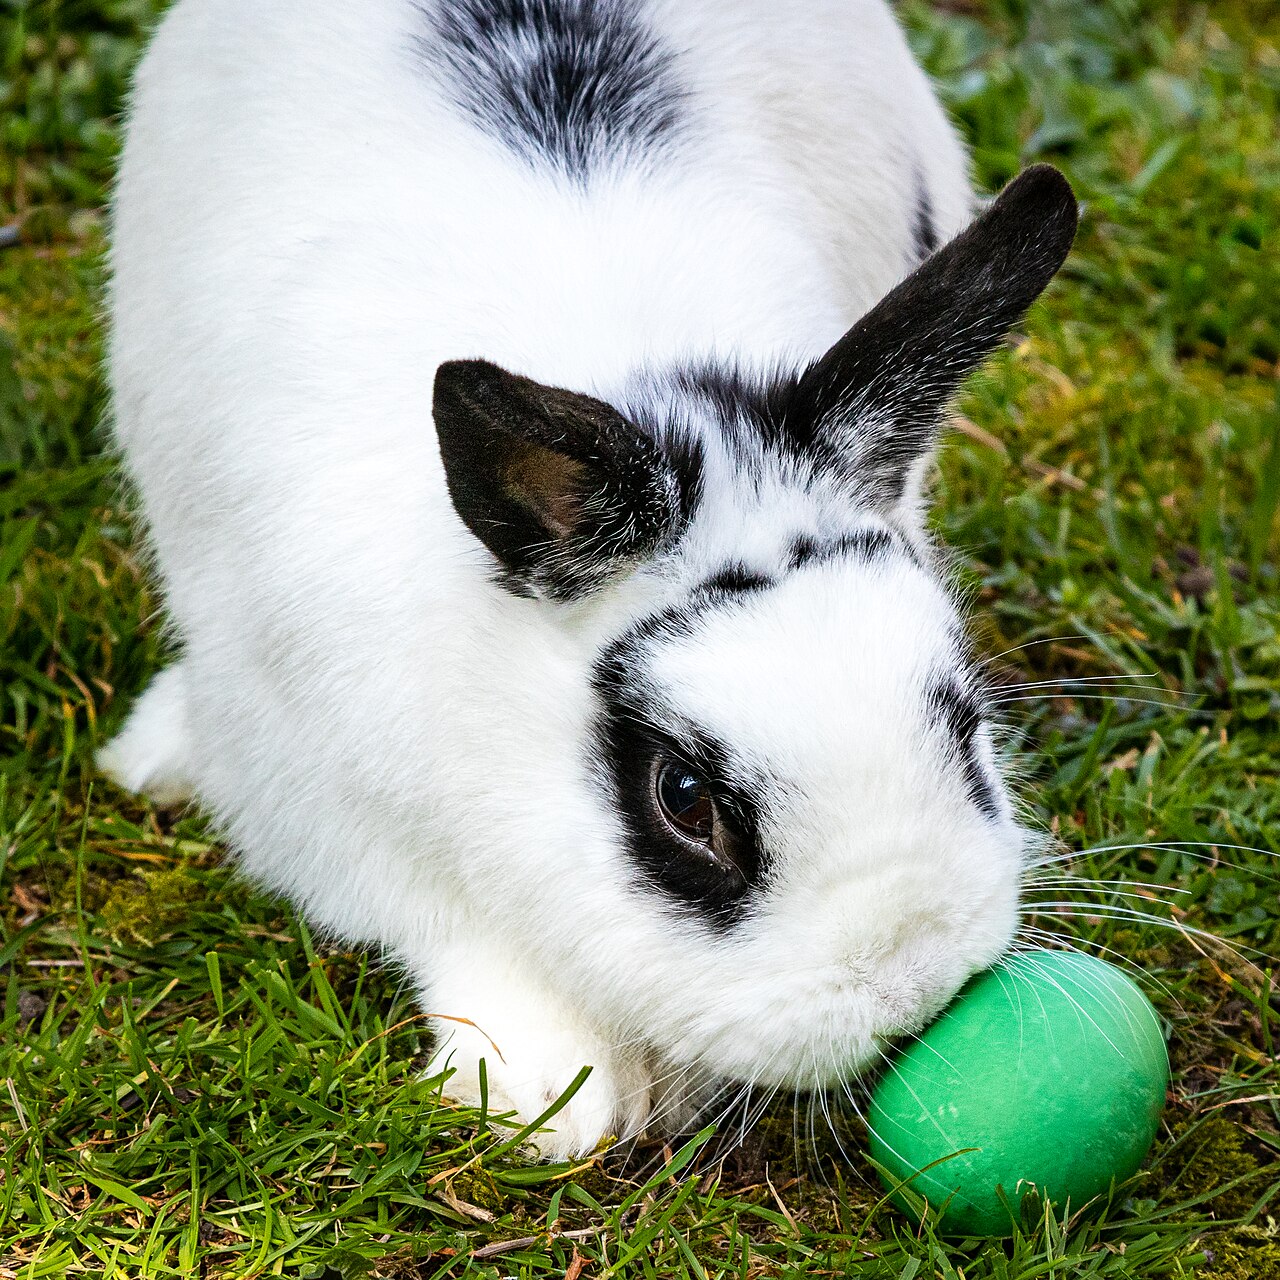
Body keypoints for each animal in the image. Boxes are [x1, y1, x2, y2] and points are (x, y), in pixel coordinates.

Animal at [100, 0, 1078, 1159]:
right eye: (684, 797)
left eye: (964, 719)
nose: (914, 980)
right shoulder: (319, 798)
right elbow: (455, 933)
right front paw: (542, 1097)